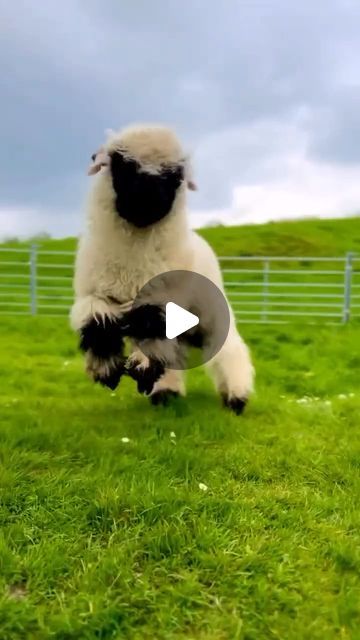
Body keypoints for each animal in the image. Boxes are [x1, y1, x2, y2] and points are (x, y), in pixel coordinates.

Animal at [70, 124, 255, 416]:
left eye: (174, 176)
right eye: (124, 164)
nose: (148, 198)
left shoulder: (162, 299)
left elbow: (151, 329)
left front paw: (142, 369)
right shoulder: (94, 294)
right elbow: (97, 325)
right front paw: (107, 371)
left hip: (213, 312)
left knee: (229, 348)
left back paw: (236, 397)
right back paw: (167, 393)